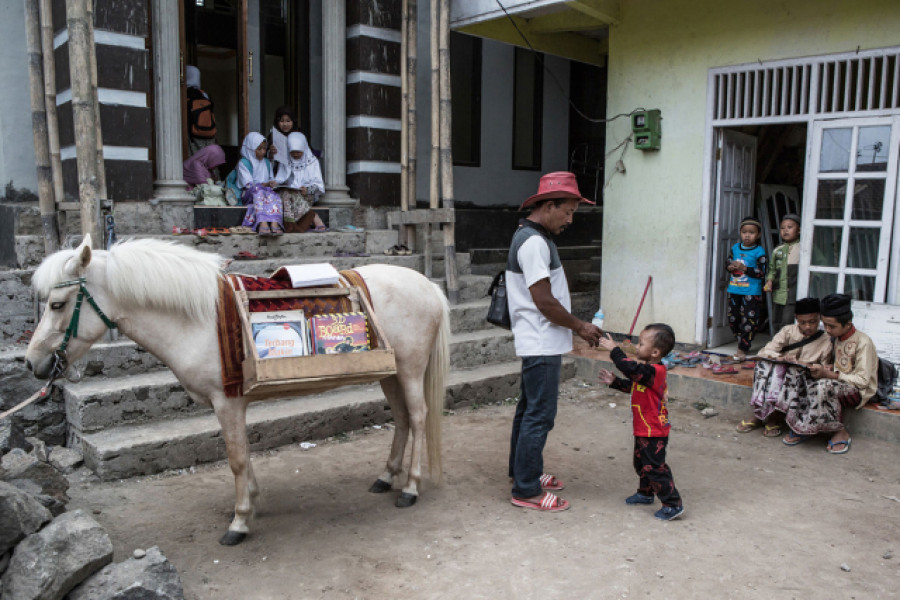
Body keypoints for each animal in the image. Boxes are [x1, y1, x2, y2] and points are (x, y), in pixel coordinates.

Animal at [24, 234, 450, 544]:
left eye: (58, 304)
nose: (32, 363)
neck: (198, 318)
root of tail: (428, 285)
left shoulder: (226, 401)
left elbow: (236, 459)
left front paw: (240, 521)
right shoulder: (232, 404)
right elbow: (244, 452)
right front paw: (254, 501)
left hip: (410, 371)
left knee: (417, 417)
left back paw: (410, 487)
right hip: (390, 374)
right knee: (402, 420)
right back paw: (386, 476)